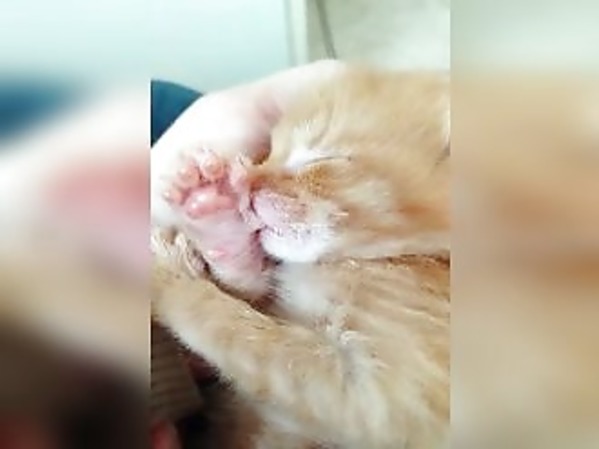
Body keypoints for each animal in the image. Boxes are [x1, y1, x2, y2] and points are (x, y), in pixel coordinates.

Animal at [151, 67, 450, 449]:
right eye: (267, 153)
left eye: (318, 159)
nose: (250, 184)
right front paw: (218, 222)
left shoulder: (384, 403)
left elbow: (240, 332)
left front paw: (168, 277)